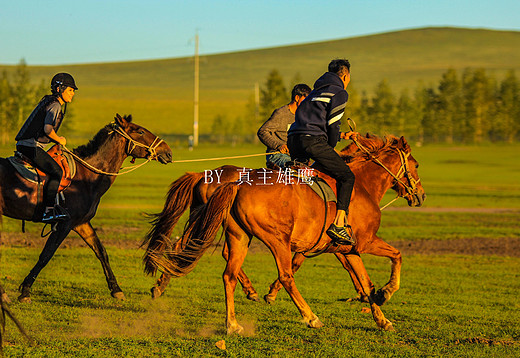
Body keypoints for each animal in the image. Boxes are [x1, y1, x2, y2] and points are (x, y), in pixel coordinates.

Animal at [1, 114, 173, 302]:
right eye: (140, 131)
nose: (168, 152)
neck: (86, 177)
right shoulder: (64, 225)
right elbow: (46, 255)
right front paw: (25, 290)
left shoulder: (81, 223)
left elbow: (101, 252)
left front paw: (116, 289)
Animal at [144, 135, 424, 336]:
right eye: (416, 165)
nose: (420, 195)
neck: (363, 183)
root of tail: (233, 183)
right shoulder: (365, 243)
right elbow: (397, 256)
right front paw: (387, 291)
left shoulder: (349, 249)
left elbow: (366, 282)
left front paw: (381, 317)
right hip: (276, 240)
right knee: (286, 275)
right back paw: (310, 316)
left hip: (238, 236)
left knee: (226, 274)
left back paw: (232, 323)